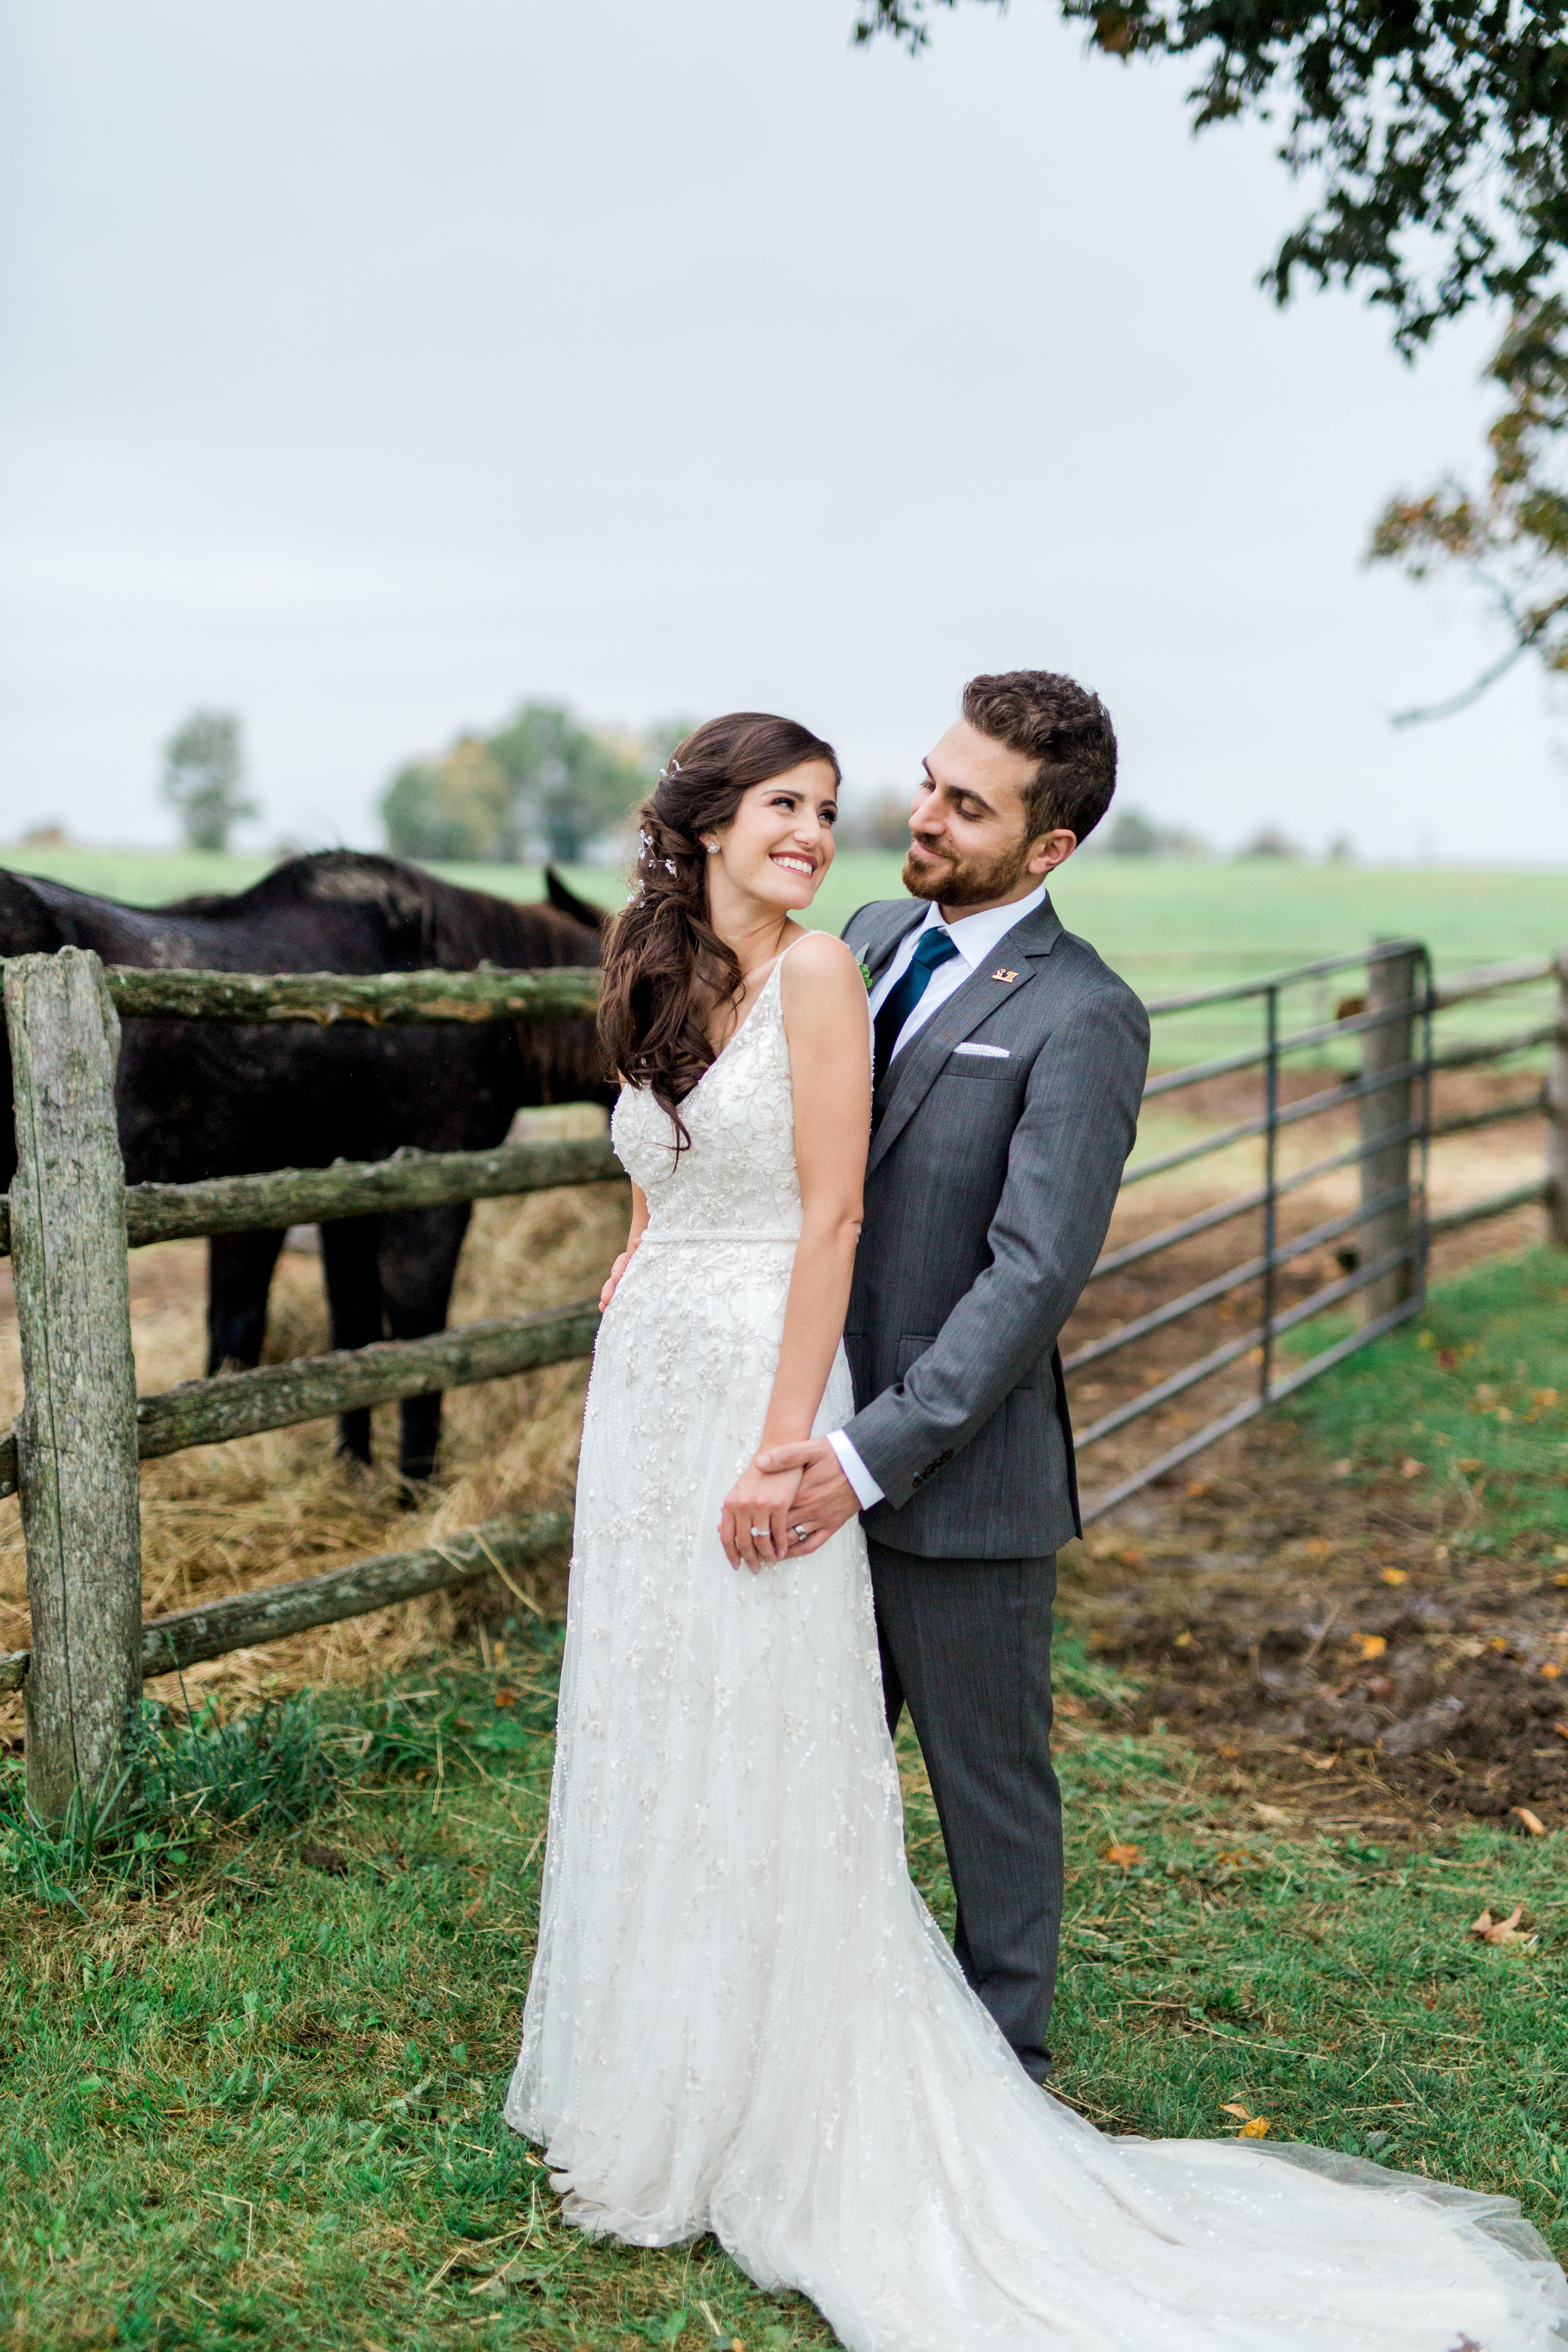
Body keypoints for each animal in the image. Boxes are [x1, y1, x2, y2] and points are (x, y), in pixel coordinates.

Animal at [0, 847, 611, 1477]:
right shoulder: (434, 1186)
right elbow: (421, 1331)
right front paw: (415, 1479)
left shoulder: (338, 1193)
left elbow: (340, 1326)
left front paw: (353, 1466)